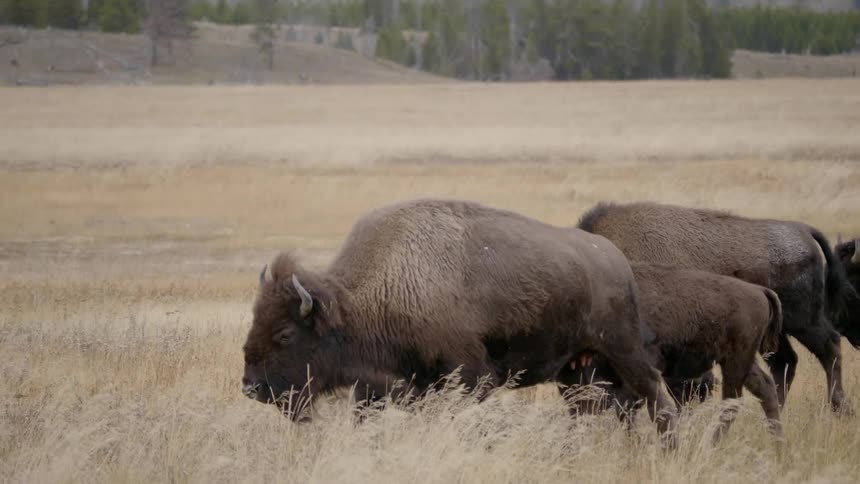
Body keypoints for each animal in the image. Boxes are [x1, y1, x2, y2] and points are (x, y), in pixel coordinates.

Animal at [242, 198, 678, 444]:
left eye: (284, 333)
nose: (250, 386)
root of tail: (615, 258)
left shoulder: (470, 377)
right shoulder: (378, 387)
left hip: (623, 348)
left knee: (655, 392)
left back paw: (669, 443)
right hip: (576, 368)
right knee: (588, 407)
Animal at [564, 263, 784, 443]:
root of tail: (758, 290)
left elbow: (627, 408)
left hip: (737, 361)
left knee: (732, 402)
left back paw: (710, 444)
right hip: (740, 360)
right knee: (764, 389)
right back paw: (777, 445)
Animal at [578, 201, 857, 413]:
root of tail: (803, 230)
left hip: (803, 321)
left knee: (830, 347)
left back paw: (838, 407)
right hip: (776, 332)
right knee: (785, 362)